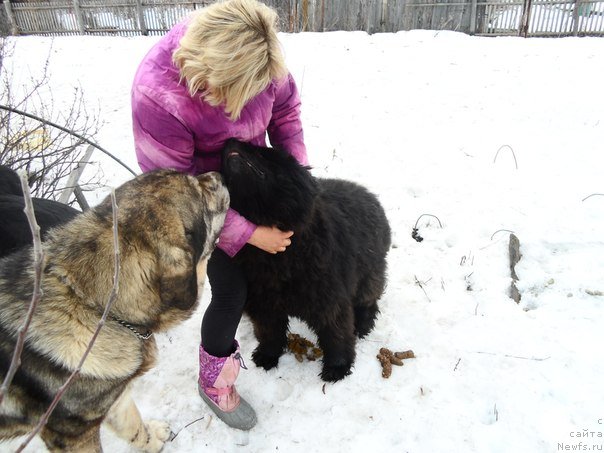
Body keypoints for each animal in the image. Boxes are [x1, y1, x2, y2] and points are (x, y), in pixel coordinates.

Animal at [0, 169, 229, 448]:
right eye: (202, 193)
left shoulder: (115, 398)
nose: (218, 174)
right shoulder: (72, 435)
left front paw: (153, 440)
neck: (92, 306)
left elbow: (135, 428)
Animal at [222, 139, 392, 382]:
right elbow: (269, 331)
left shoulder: (331, 301)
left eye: (263, 153)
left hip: (369, 274)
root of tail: (371, 196)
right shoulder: (262, 302)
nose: (229, 141)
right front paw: (267, 355)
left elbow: (336, 335)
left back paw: (363, 323)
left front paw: (337, 367)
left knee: (369, 300)